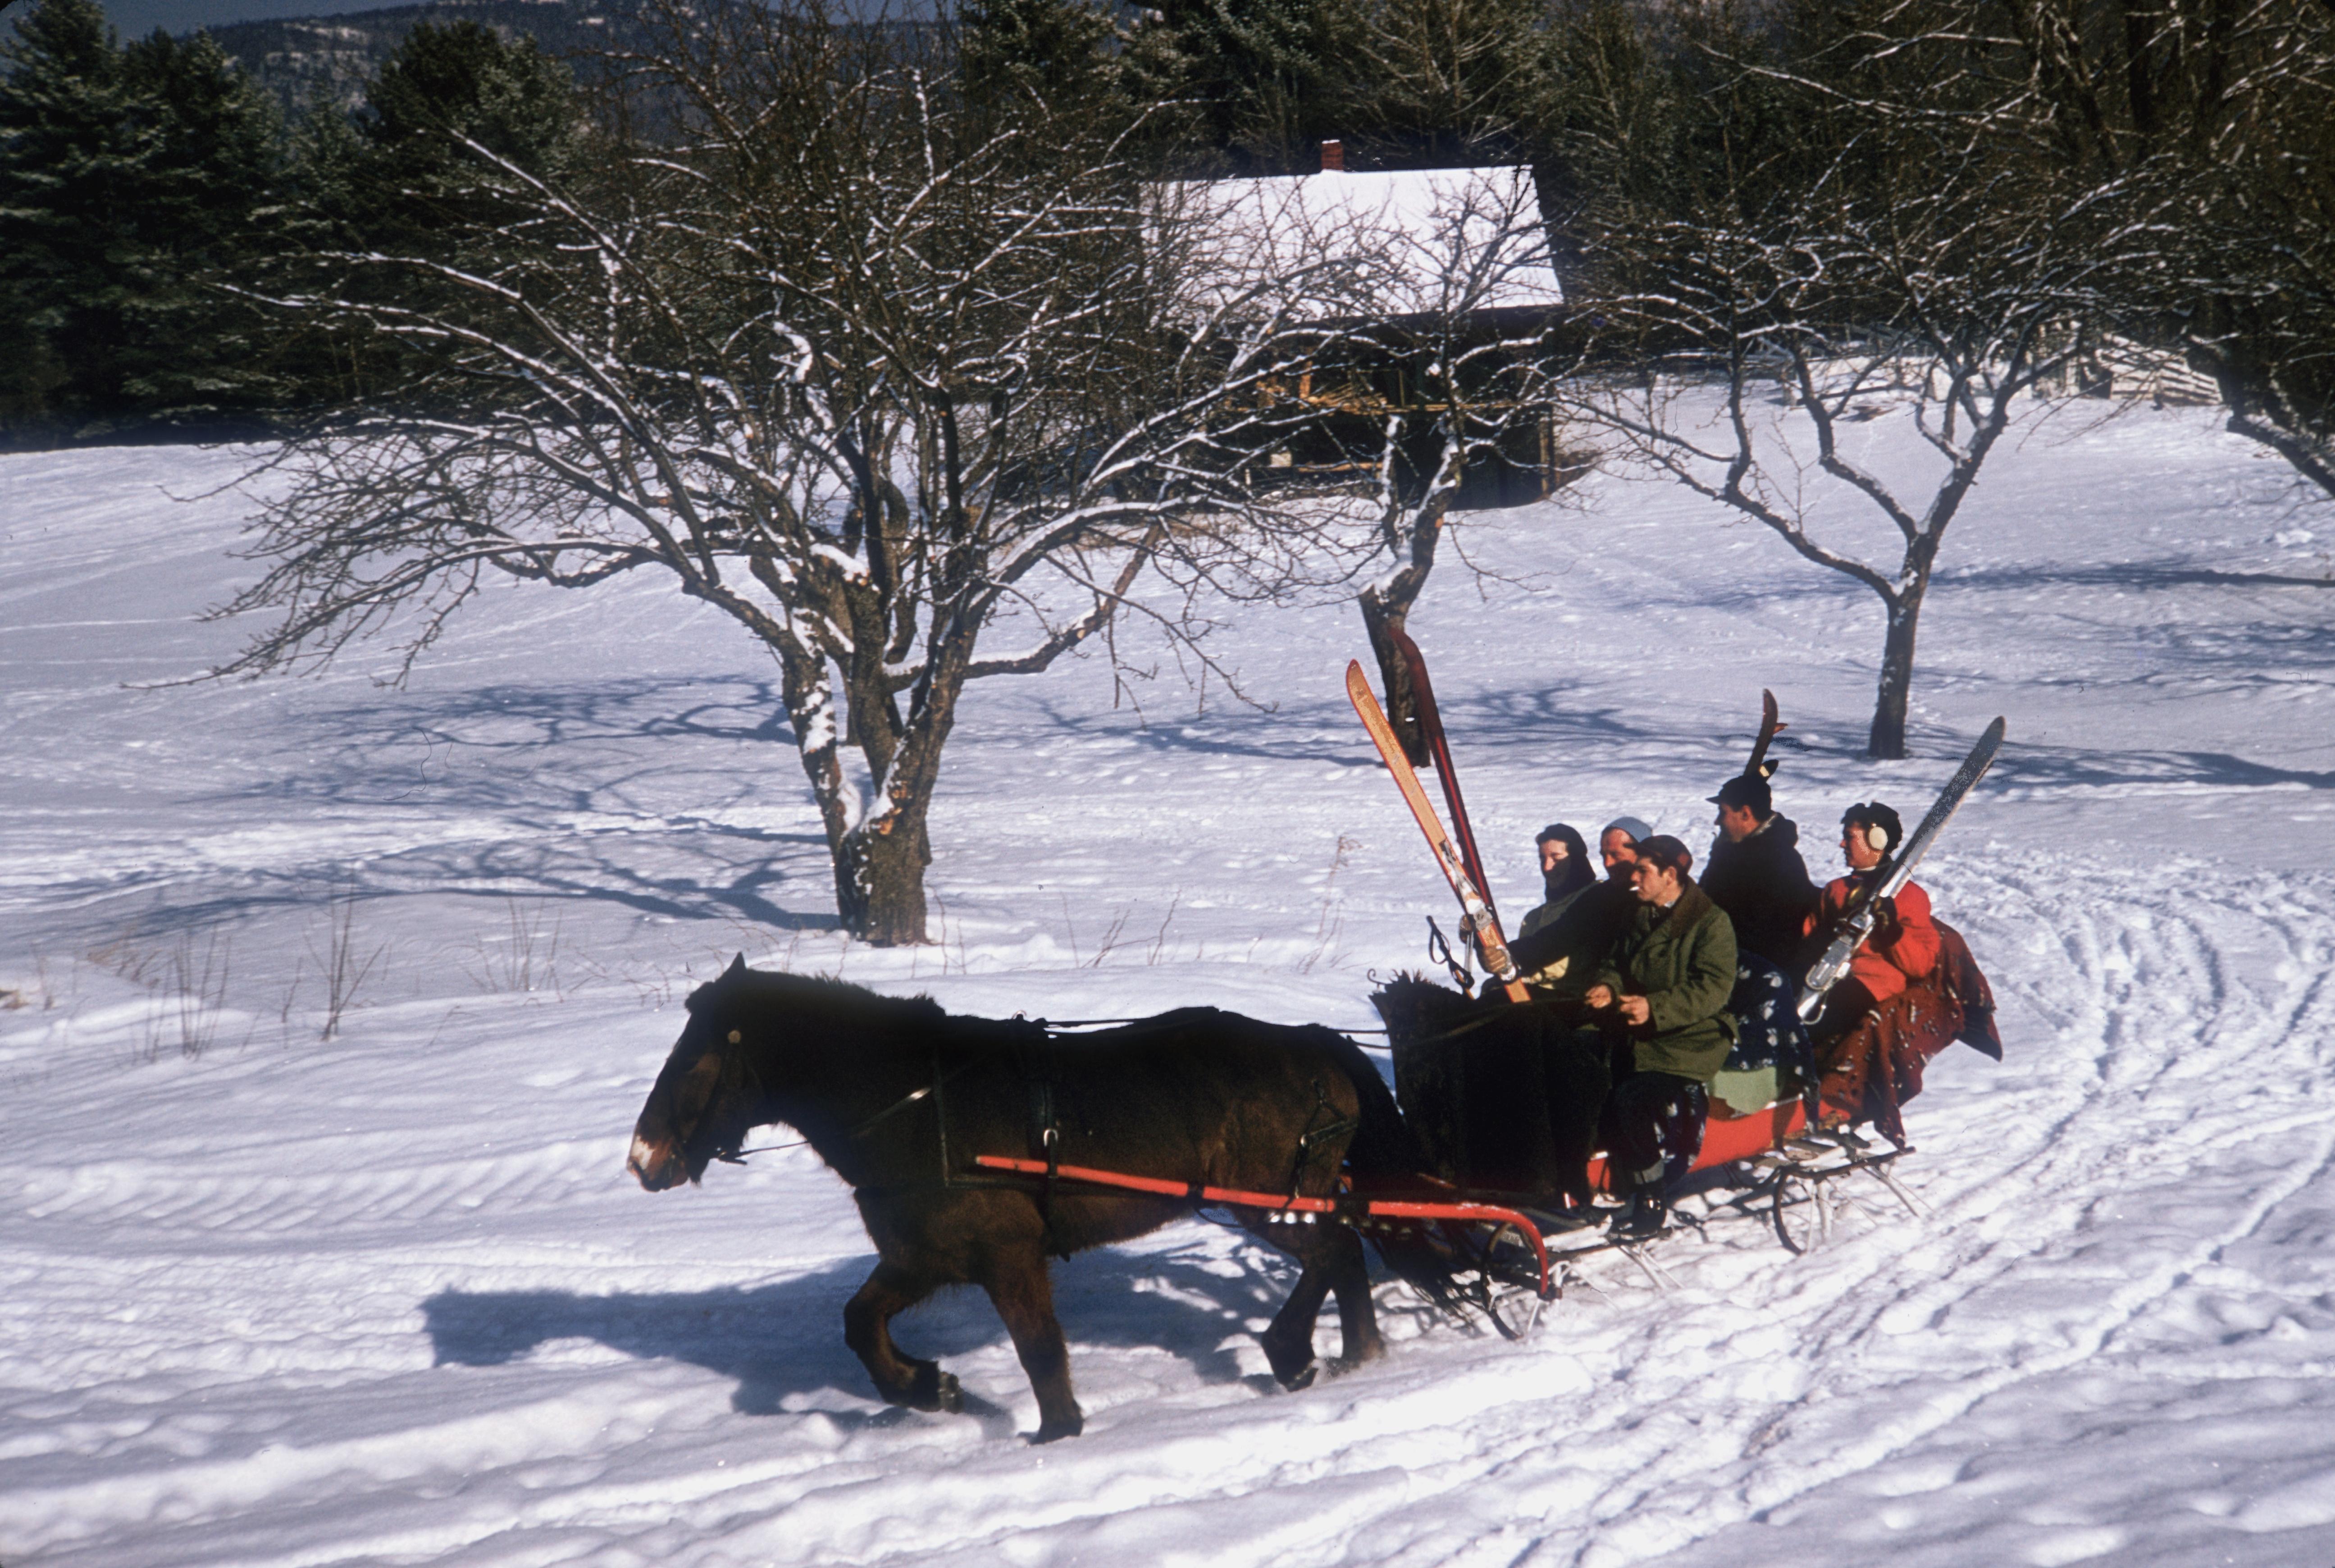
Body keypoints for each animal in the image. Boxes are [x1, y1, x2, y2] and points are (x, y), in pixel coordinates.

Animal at [625, 957, 1438, 1446]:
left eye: (695, 1060)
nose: (643, 1159)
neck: (919, 1102)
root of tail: (1315, 1043)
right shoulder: (925, 1254)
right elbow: (860, 1323)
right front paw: (929, 1387)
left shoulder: (1005, 1253)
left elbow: (1039, 1347)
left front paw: (1055, 1431)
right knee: (1344, 1255)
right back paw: (1353, 1355)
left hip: (1269, 1200)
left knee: (1333, 1252)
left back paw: (1300, 1355)